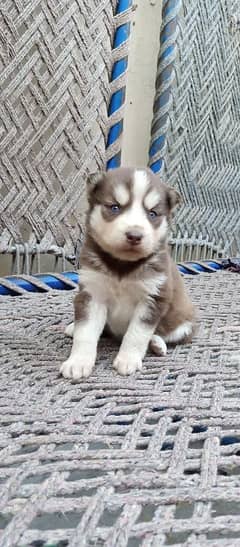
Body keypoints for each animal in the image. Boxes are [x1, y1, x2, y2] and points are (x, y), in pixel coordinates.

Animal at [60, 167, 195, 382]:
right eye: (115, 207)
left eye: (152, 213)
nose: (134, 235)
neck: (122, 265)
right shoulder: (91, 293)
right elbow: (86, 331)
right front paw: (78, 362)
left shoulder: (153, 298)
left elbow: (137, 333)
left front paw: (128, 359)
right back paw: (73, 327)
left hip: (185, 323)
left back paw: (156, 344)